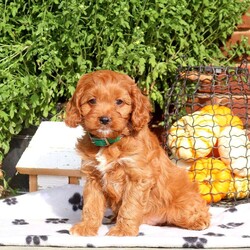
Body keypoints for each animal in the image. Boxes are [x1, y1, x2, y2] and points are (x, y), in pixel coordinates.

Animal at [64, 70, 209, 236]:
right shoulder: (93, 177)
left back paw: (199, 221)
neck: (109, 143)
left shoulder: (138, 177)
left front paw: (123, 230)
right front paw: (87, 227)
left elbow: (130, 206)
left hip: (182, 205)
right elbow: (91, 205)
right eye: (92, 101)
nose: (104, 119)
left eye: (119, 102)